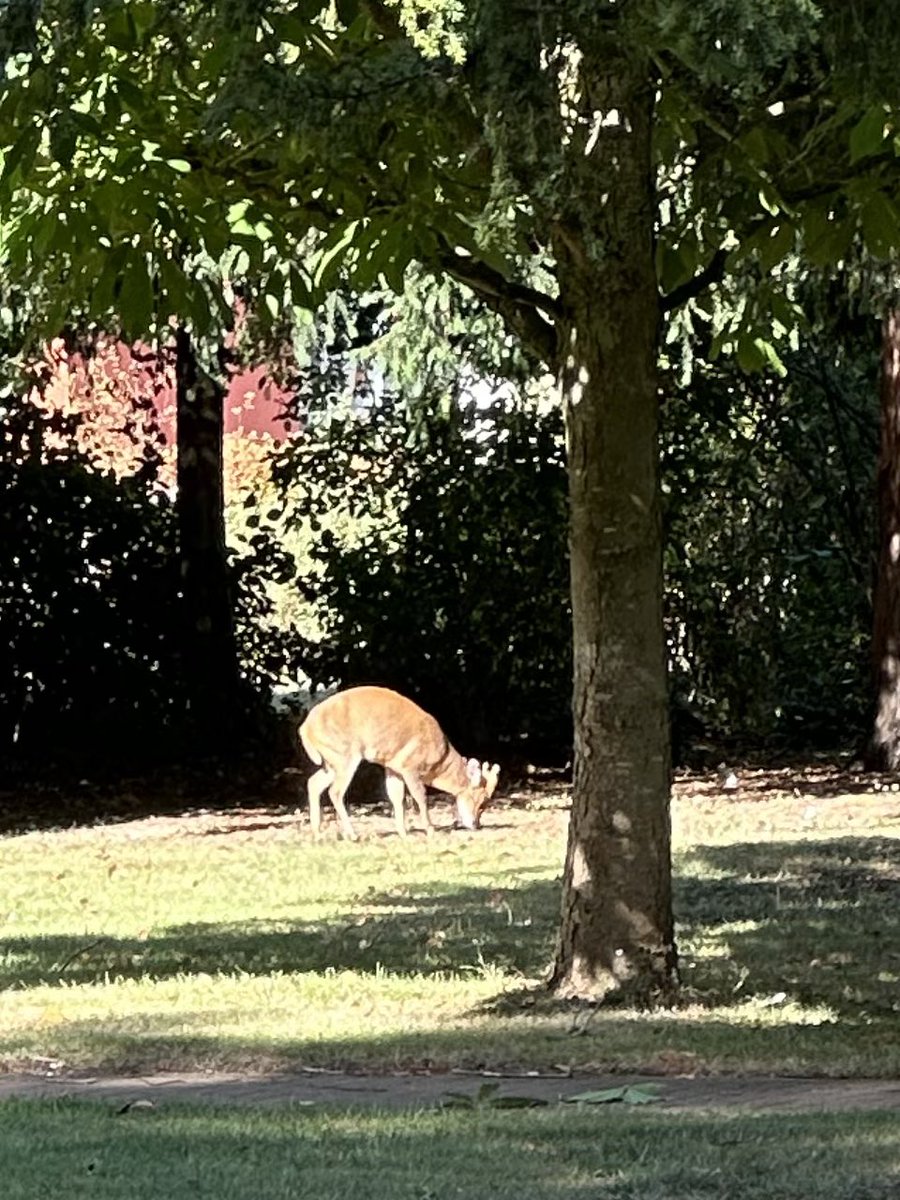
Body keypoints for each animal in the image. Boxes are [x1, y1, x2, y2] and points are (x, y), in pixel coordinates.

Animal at [298, 685, 501, 839]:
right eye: (482, 800)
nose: (476, 825)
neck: (438, 762)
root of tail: (304, 729)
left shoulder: (393, 767)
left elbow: (396, 796)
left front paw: (403, 833)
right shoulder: (411, 766)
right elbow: (420, 796)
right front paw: (430, 830)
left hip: (331, 760)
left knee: (313, 783)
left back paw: (318, 833)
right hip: (345, 754)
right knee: (335, 791)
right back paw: (353, 834)